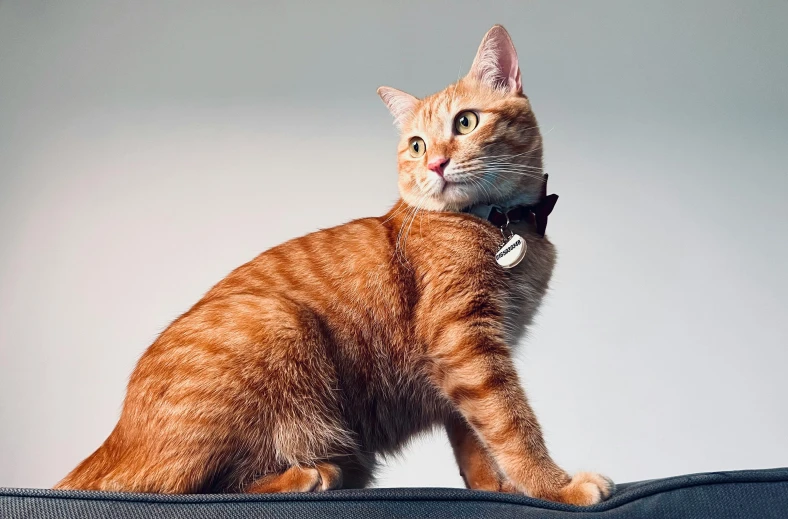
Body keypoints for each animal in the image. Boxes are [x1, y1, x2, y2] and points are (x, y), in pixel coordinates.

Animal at [55, 25, 612, 508]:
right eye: (417, 145)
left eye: (466, 122)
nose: (435, 163)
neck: (502, 224)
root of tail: (113, 440)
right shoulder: (465, 341)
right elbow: (512, 425)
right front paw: (555, 487)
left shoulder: (465, 362)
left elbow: (476, 439)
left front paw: (496, 489)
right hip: (278, 323)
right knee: (187, 489)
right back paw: (308, 475)